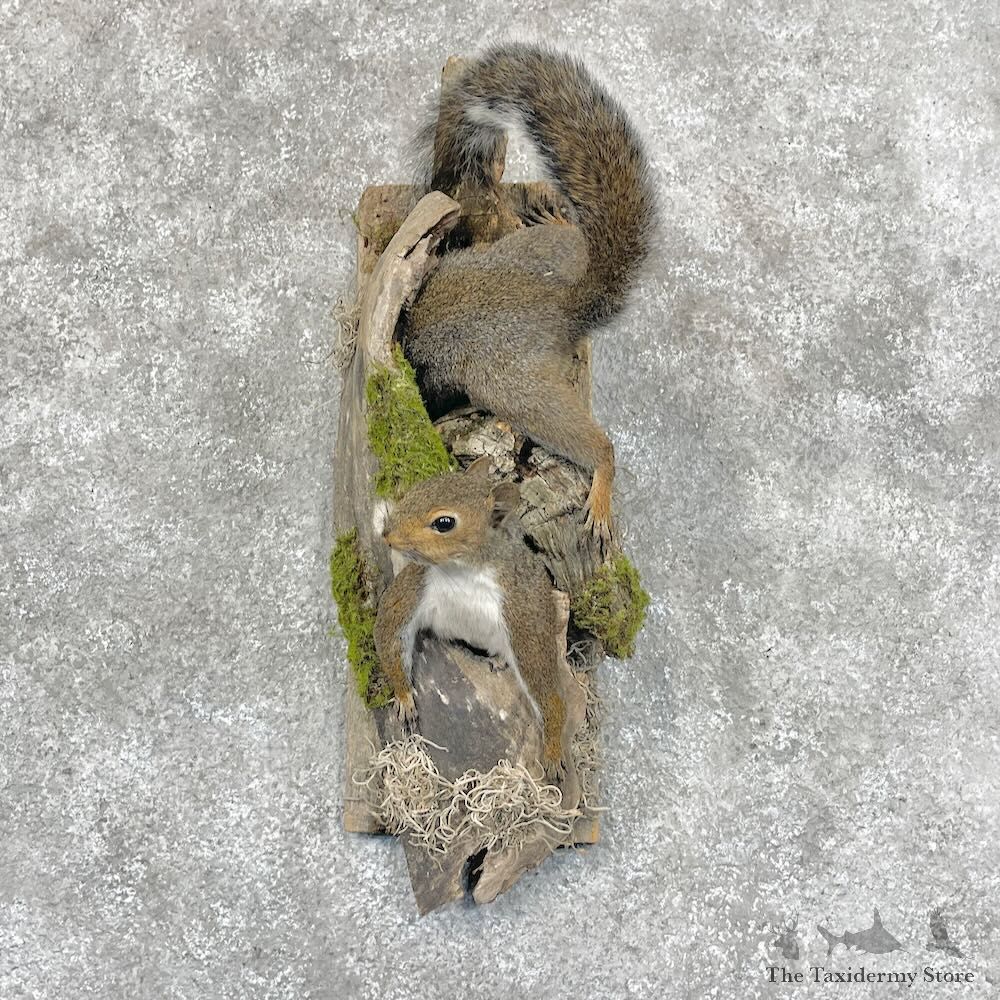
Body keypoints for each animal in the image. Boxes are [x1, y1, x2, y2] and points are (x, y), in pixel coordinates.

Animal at [374, 458, 574, 782]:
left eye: (444, 523)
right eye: (419, 487)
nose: (388, 535)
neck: (463, 571)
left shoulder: (522, 610)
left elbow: (546, 688)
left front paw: (554, 751)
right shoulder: (418, 584)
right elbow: (390, 631)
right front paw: (404, 697)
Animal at [402, 43, 657, 547]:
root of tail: (565, 305)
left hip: (520, 390)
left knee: (592, 443)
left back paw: (601, 483)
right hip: (542, 252)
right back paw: (559, 222)